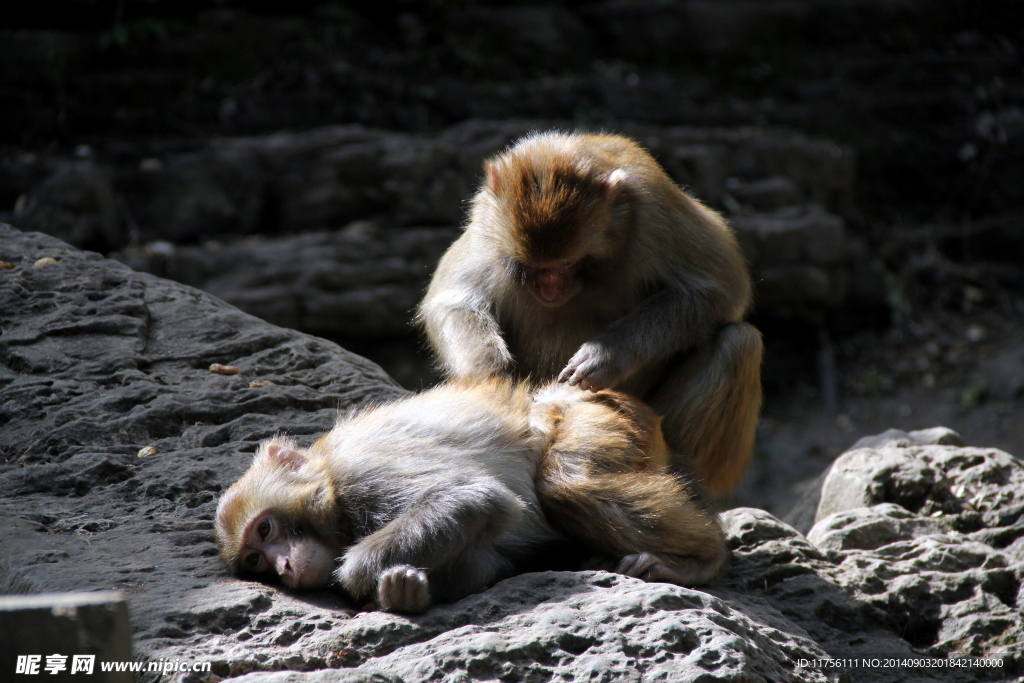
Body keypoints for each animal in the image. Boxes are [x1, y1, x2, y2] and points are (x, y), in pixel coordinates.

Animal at [216, 378, 729, 614]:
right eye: (256, 560)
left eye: (267, 528)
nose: (283, 566)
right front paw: (405, 590)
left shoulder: (363, 474)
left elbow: (478, 497)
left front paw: (363, 576)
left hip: (595, 419)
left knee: (567, 486)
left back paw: (702, 560)